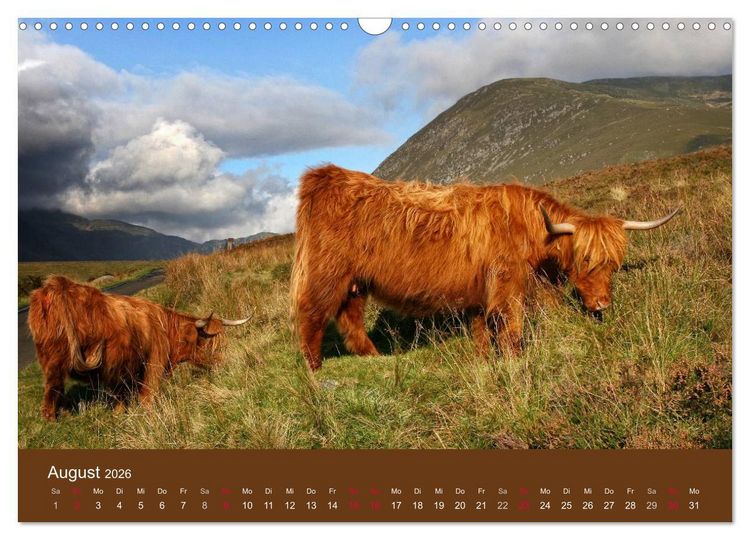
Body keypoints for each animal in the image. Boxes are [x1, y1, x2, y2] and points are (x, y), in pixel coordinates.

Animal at [27, 276, 250, 420]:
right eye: (209, 343)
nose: (223, 363)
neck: (166, 330)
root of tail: (57, 286)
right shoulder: (154, 363)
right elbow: (147, 395)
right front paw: (148, 415)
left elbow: (122, 394)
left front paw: (119, 415)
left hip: (51, 359)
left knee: (53, 388)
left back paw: (61, 414)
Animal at [290, 164, 679, 370]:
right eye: (585, 260)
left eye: (613, 264)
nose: (601, 304)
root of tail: (327, 176)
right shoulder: (508, 284)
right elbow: (511, 328)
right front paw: (515, 360)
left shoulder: (481, 290)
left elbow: (481, 329)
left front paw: (483, 359)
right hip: (327, 273)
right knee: (312, 314)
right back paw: (314, 369)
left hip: (356, 281)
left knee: (350, 317)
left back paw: (376, 359)